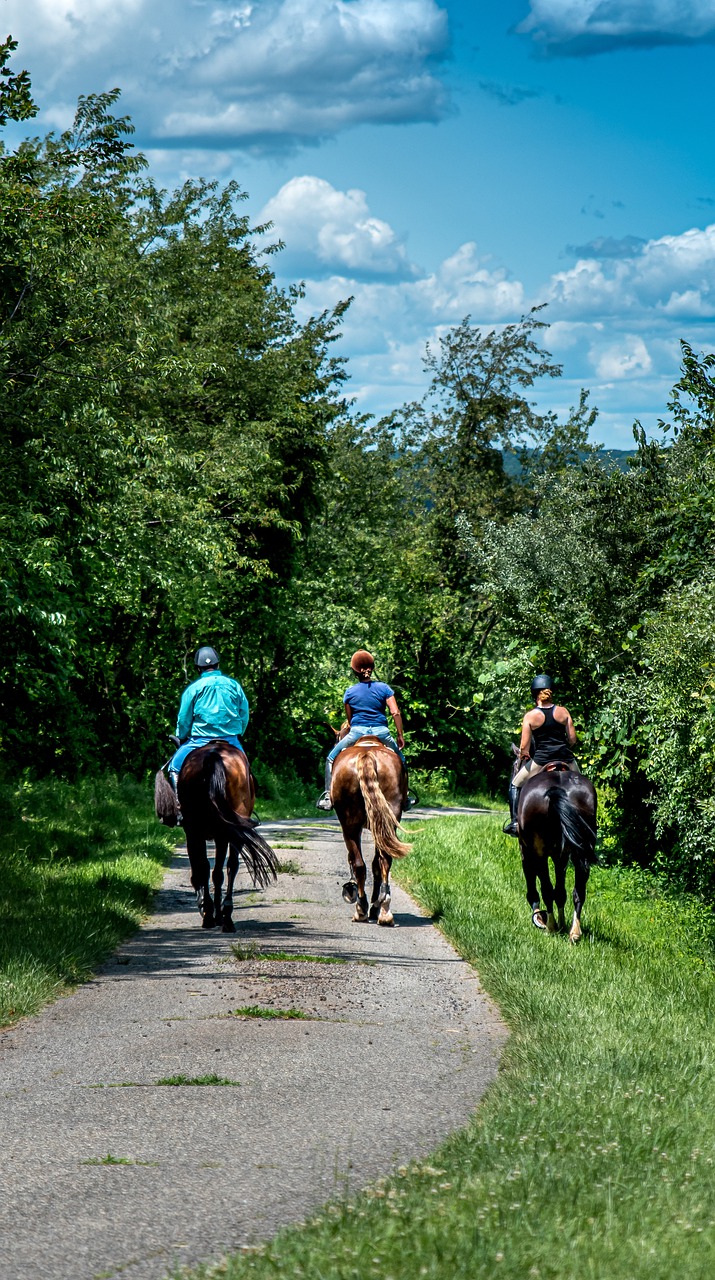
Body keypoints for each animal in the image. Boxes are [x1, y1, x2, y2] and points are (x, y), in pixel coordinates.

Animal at [154, 742, 277, 931]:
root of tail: (213, 754)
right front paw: (216, 911)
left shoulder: (193, 834)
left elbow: (200, 870)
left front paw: (206, 907)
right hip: (224, 832)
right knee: (228, 867)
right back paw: (225, 916)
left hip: (203, 831)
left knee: (208, 869)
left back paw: (211, 915)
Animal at [332, 737, 411, 926]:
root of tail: (366, 755)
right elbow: (377, 864)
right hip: (387, 820)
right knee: (384, 860)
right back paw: (384, 908)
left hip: (350, 825)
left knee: (359, 864)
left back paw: (362, 908)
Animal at [514, 762, 598, 947]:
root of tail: (557, 790)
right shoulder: (562, 856)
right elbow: (560, 892)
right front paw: (562, 923)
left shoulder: (526, 850)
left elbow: (535, 886)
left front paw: (539, 917)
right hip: (581, 852)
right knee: (579, 891)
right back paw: (574, 932)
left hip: (538, 853)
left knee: (546, 888)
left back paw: (550, 927)